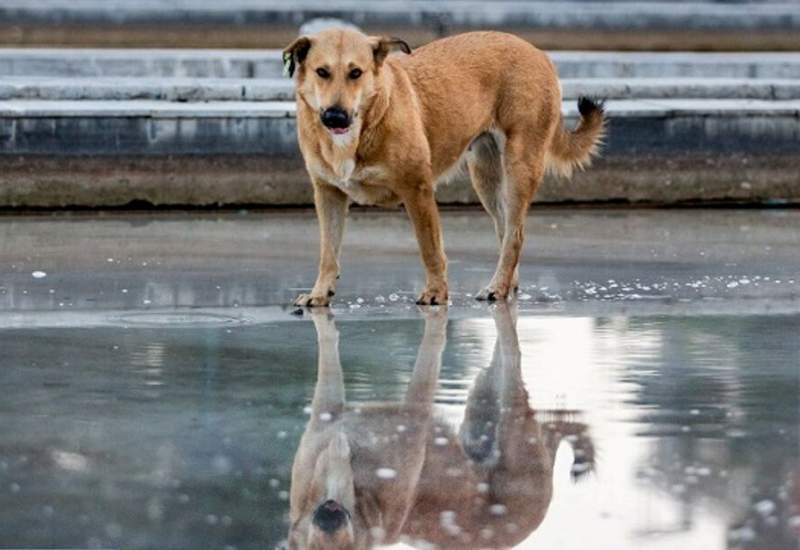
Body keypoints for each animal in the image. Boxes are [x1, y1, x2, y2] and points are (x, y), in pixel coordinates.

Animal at [284, 28, 604, 308]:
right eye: (321, 72)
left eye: (355, 73)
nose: (335, 117)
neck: (365, 123)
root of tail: (537, 52)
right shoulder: (328, 194)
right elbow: (328, 252)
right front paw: (319, 293)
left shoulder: (418, 190)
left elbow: (430, 249)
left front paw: (436, 293)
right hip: (486, 178)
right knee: (505, 232)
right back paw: (505, 286)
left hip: (519, 167)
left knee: (515, 235)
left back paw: (497, 287)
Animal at [288, 304, 592, 548]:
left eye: (352, 547)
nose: (329, 517)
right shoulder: (326, 408)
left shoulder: (415, 414)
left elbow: (431, 346)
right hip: (486, 398)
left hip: (512, 412)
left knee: (515, 357)